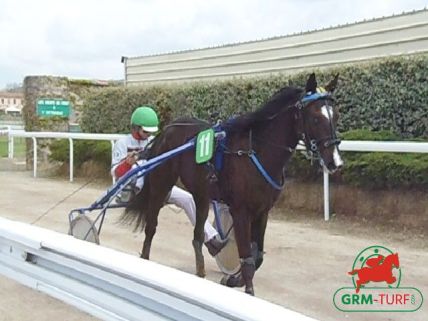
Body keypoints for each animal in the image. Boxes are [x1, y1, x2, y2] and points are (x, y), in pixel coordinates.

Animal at [122, 74, 342, 294]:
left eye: (336, 116)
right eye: (315, 117)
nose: (335, 162)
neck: (256, 152)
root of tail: (168, 128)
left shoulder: (263, 211)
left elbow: (257, 257)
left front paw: (233, 280)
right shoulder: (240, 211)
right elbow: (247, 259)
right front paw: (247, 290)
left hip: (202, 195)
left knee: (197, 235)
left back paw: (201, 272)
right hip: (161, 185)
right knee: (151, 227)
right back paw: (145, 259)